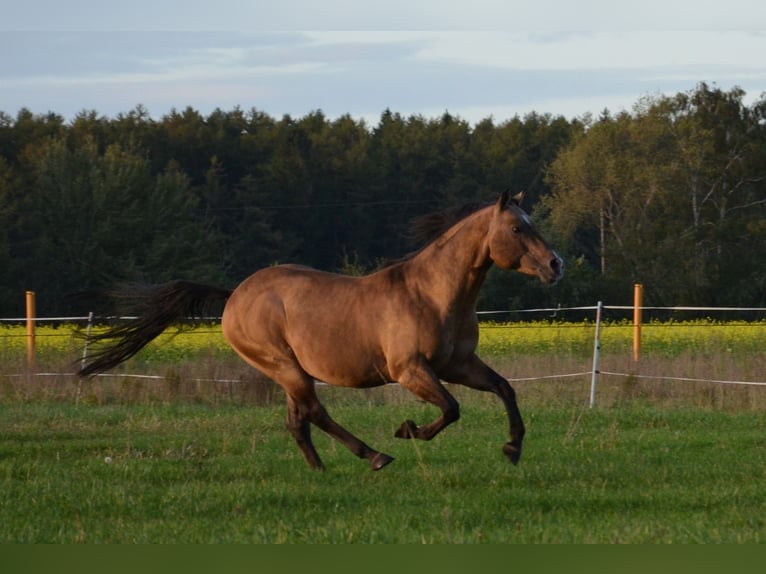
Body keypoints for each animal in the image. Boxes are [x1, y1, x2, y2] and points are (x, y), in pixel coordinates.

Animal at [78, 191, 563, 471]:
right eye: (517, 227)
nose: (556, 264)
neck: (433, 293)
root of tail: (234, 296)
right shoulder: (410, 370)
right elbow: (451, 409)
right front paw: (408, 430)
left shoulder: (459, 364)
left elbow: (504, 388)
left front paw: (513, 449)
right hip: (284, 366)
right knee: (313, 412)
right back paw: (376, 456)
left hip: (288, 372)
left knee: (298, 420)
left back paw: (321, 471)